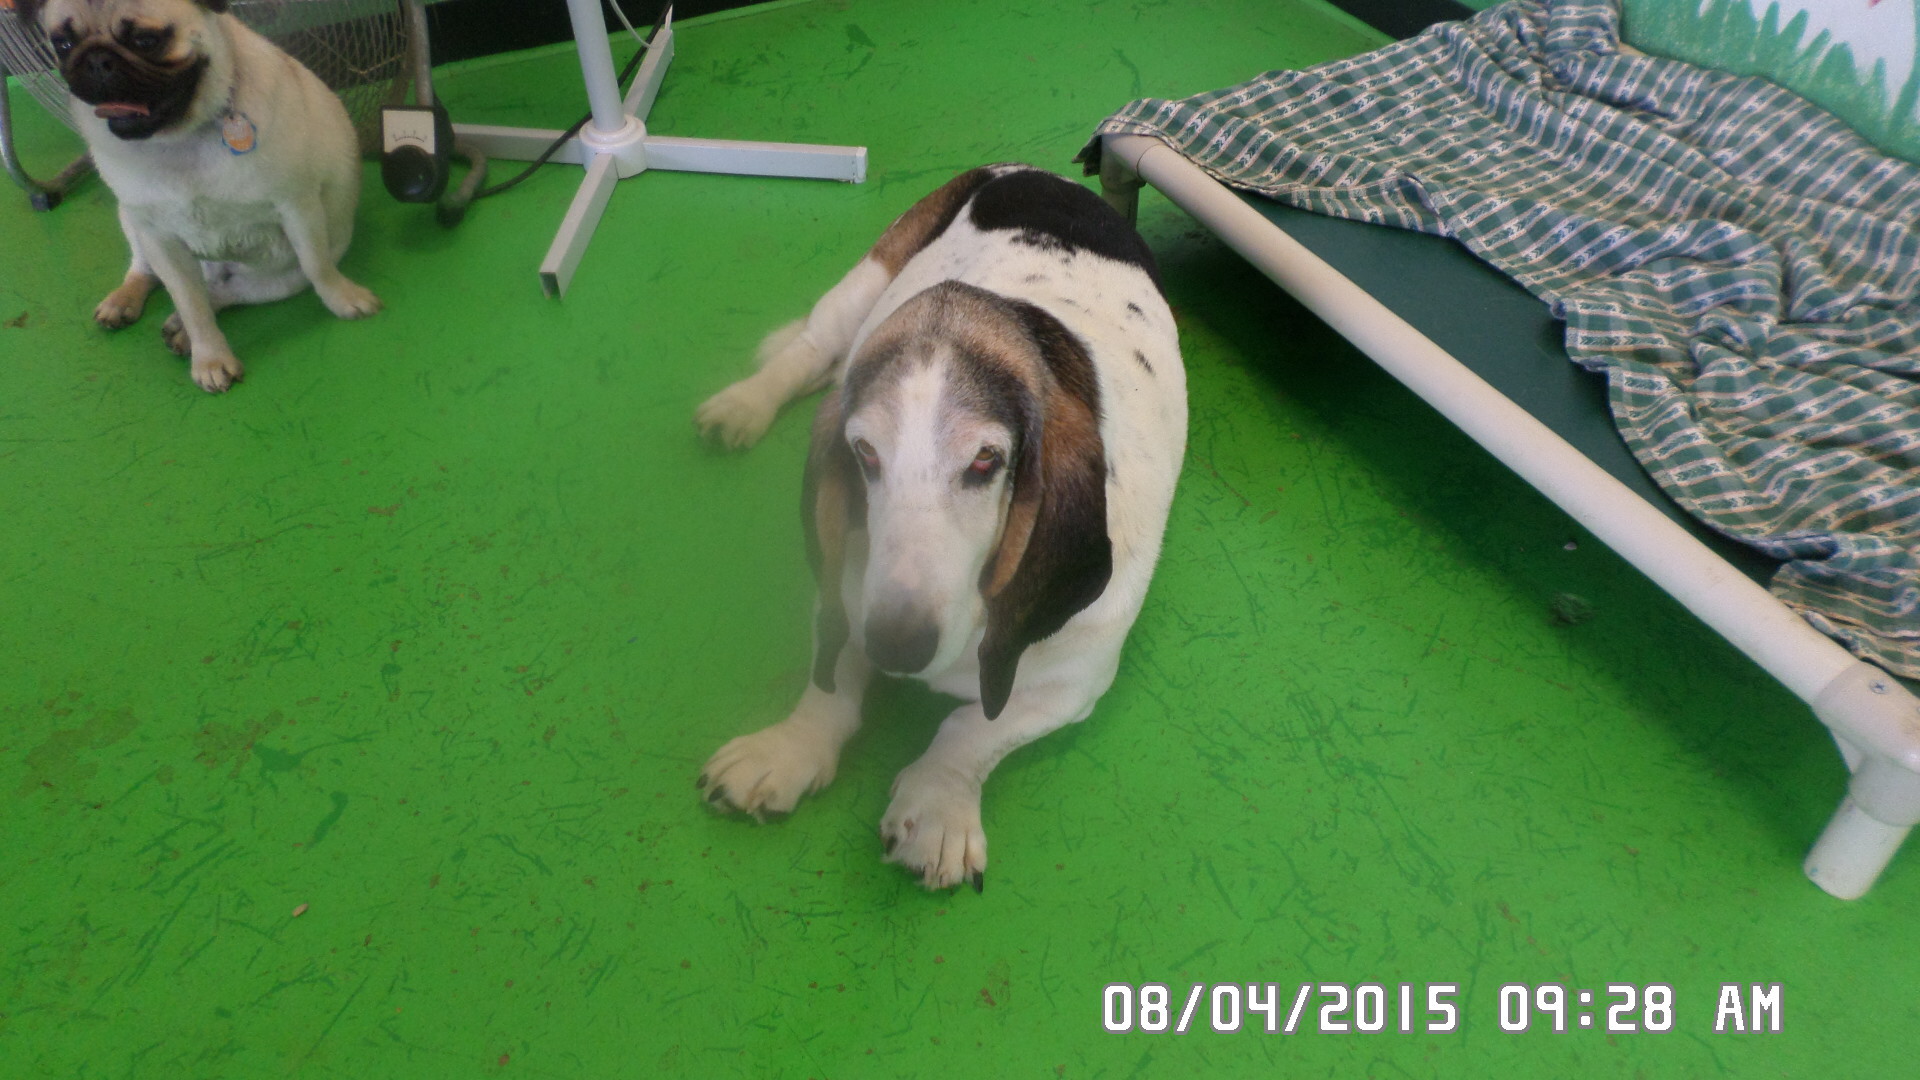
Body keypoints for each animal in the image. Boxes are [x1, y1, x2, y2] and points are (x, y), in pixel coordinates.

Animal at [15, 0, 379, 392]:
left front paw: (344, 299)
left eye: (146, 40)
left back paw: (181, 330)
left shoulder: (298, 207)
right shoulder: (157, 236)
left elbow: (318, 267)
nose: (97, 60)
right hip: (130, 220)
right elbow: (190, 303)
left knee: (230, 292)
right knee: (149, 272)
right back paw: (127, 302)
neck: (178, 139)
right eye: (62, 45)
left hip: (285, 277)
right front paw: (210, 358)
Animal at [694, 164, 1188, 890]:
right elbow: (830, 683)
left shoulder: (1076, 682)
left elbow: (970, 729)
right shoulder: (846, 595)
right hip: (867, 277)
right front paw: (788, 749)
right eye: (864, 452)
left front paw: (937, 806)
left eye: (986, 460)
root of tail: (1043, 172)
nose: (896, 644)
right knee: (811, 349)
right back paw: (743, 405)